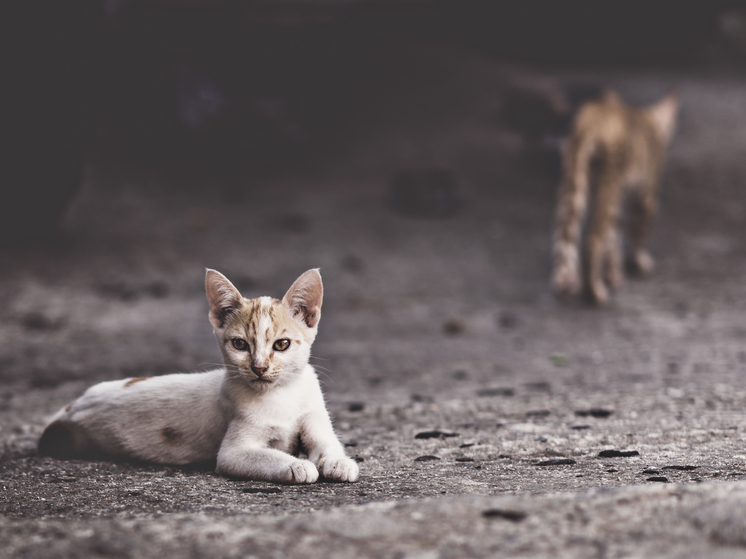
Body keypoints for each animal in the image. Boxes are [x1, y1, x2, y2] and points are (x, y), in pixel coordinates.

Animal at [37, 270, 358, 484]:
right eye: (240, 344)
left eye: (282, 345)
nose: (259, 367)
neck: (282, 395)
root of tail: (73, 406)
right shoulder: (234, 452)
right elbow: (263, 456)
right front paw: (296, 466)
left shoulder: (314, 416)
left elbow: (327, 444)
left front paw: (339, 462)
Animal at [548, 89, 676, 304]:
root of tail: (592, 123)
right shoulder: (647, 197)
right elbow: (636, 232)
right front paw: (638, 262)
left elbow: (614, 236)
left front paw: (614, 274)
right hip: (611, 181)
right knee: (593, 238)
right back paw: (595, 292)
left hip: (573, 176)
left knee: (566, 232)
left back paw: (566, 282)